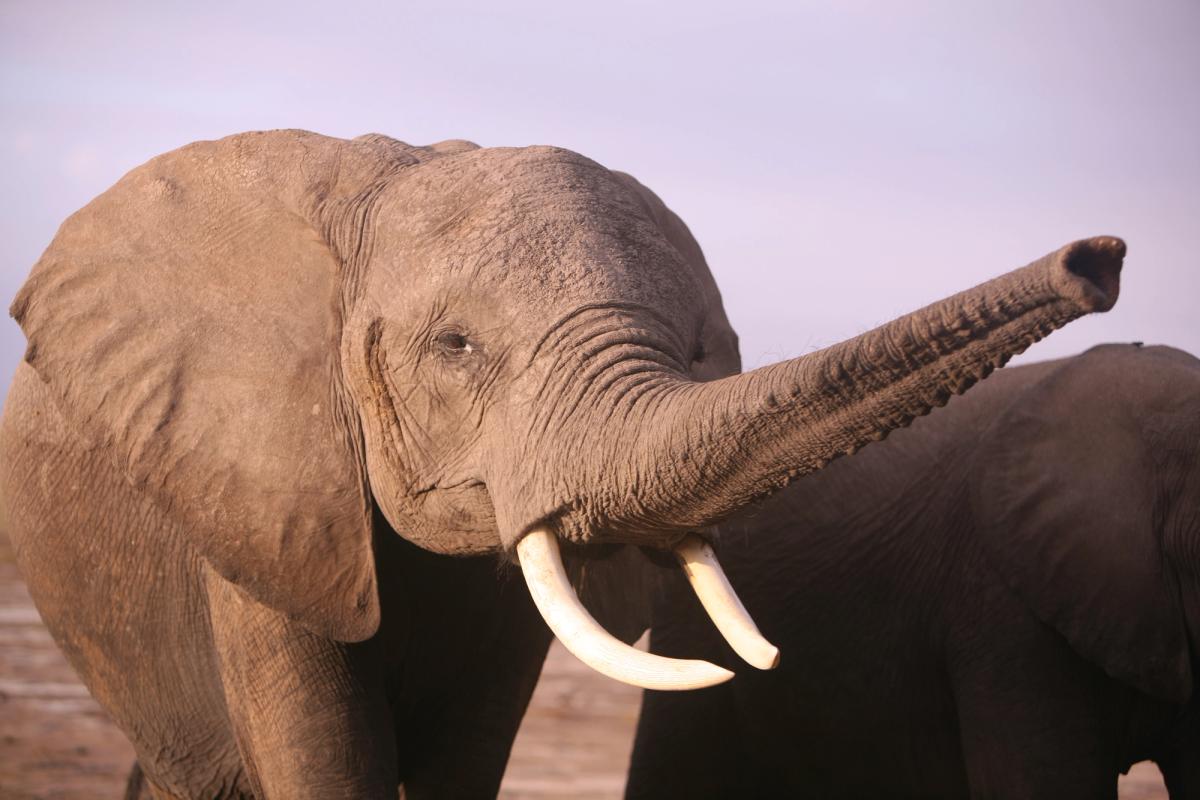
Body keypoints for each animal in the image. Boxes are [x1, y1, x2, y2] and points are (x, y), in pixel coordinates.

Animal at [0, 128, 1125, 798]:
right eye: (455, 347)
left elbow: (473, 745)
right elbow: (323, 749)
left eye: (701, 349)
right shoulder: (259, 488)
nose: (1101, 257)